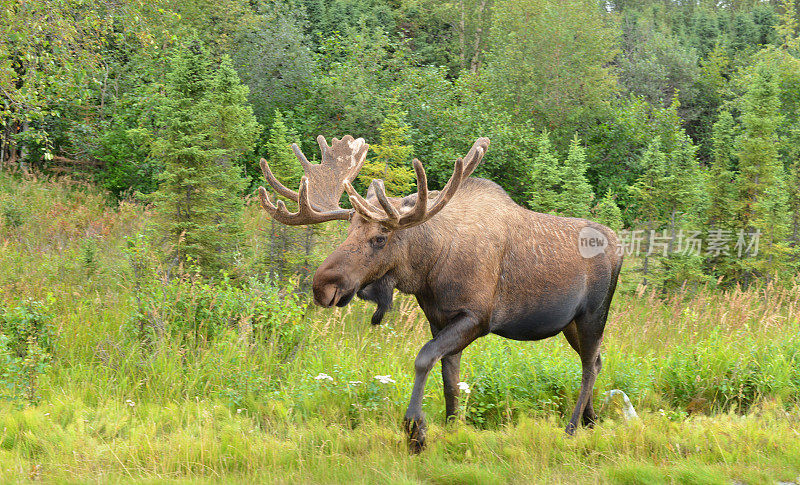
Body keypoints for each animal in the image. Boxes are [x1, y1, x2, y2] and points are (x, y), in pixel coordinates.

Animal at [260, 133, 620, 450]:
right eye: (348, 231)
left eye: (380, 238)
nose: (323, 286)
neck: (429, 271)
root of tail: (619, 244)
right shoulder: (438, 318)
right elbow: (450, 380)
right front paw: (451, 428)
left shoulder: (477, 318)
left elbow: (423, 358)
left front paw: (415, 431)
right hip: (571, 323)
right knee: (597, 360)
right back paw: (590, 421)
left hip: (594, 315)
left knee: (589, 366)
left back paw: (572, 428)